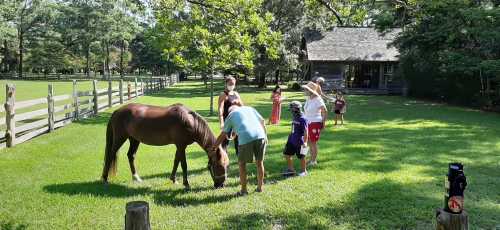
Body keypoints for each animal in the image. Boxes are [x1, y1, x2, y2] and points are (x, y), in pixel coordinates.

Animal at [102, 103, 230, 188]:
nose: (221, 185)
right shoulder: (181, 145)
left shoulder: (180, 146)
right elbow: (184, 164)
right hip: (120, 138)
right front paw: (186, 184)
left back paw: (136, 178)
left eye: (226, 165)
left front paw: (173, 179)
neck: (189, 121)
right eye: (219, 165)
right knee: (110, 155)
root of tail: (117, 111)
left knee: (130, 156)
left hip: (134, 139)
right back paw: (104, 179)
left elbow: (176, 162)